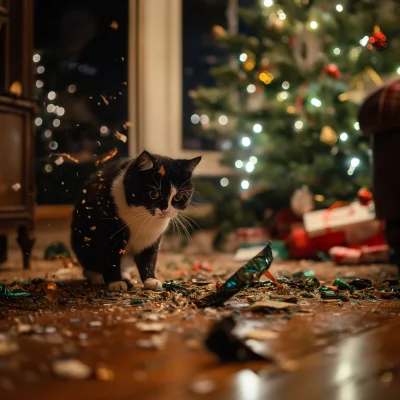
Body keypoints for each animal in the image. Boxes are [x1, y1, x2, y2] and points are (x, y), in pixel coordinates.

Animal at [70, 150, 202, 290]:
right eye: (154, 194)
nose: (165, 210)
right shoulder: (109, 231)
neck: (143, 217)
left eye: (177, 197)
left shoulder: (152, 239)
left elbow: (149, 258)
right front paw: (115, 282)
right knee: (88, 265)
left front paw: (151, 279)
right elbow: (109, 256)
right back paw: (98, 277)